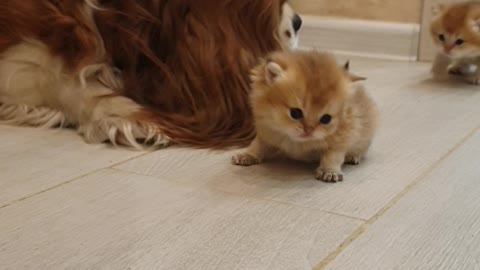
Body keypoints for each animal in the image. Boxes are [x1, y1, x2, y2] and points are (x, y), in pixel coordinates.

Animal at [232, 50, 378, 182]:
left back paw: (354, 156)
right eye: (295, 113)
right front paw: (248, 155)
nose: (309, 130)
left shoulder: (342, 138)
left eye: (326, 119)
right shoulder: (267, 131)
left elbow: (333, 156)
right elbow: (258, 144)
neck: (297, 141)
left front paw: (329, 171)